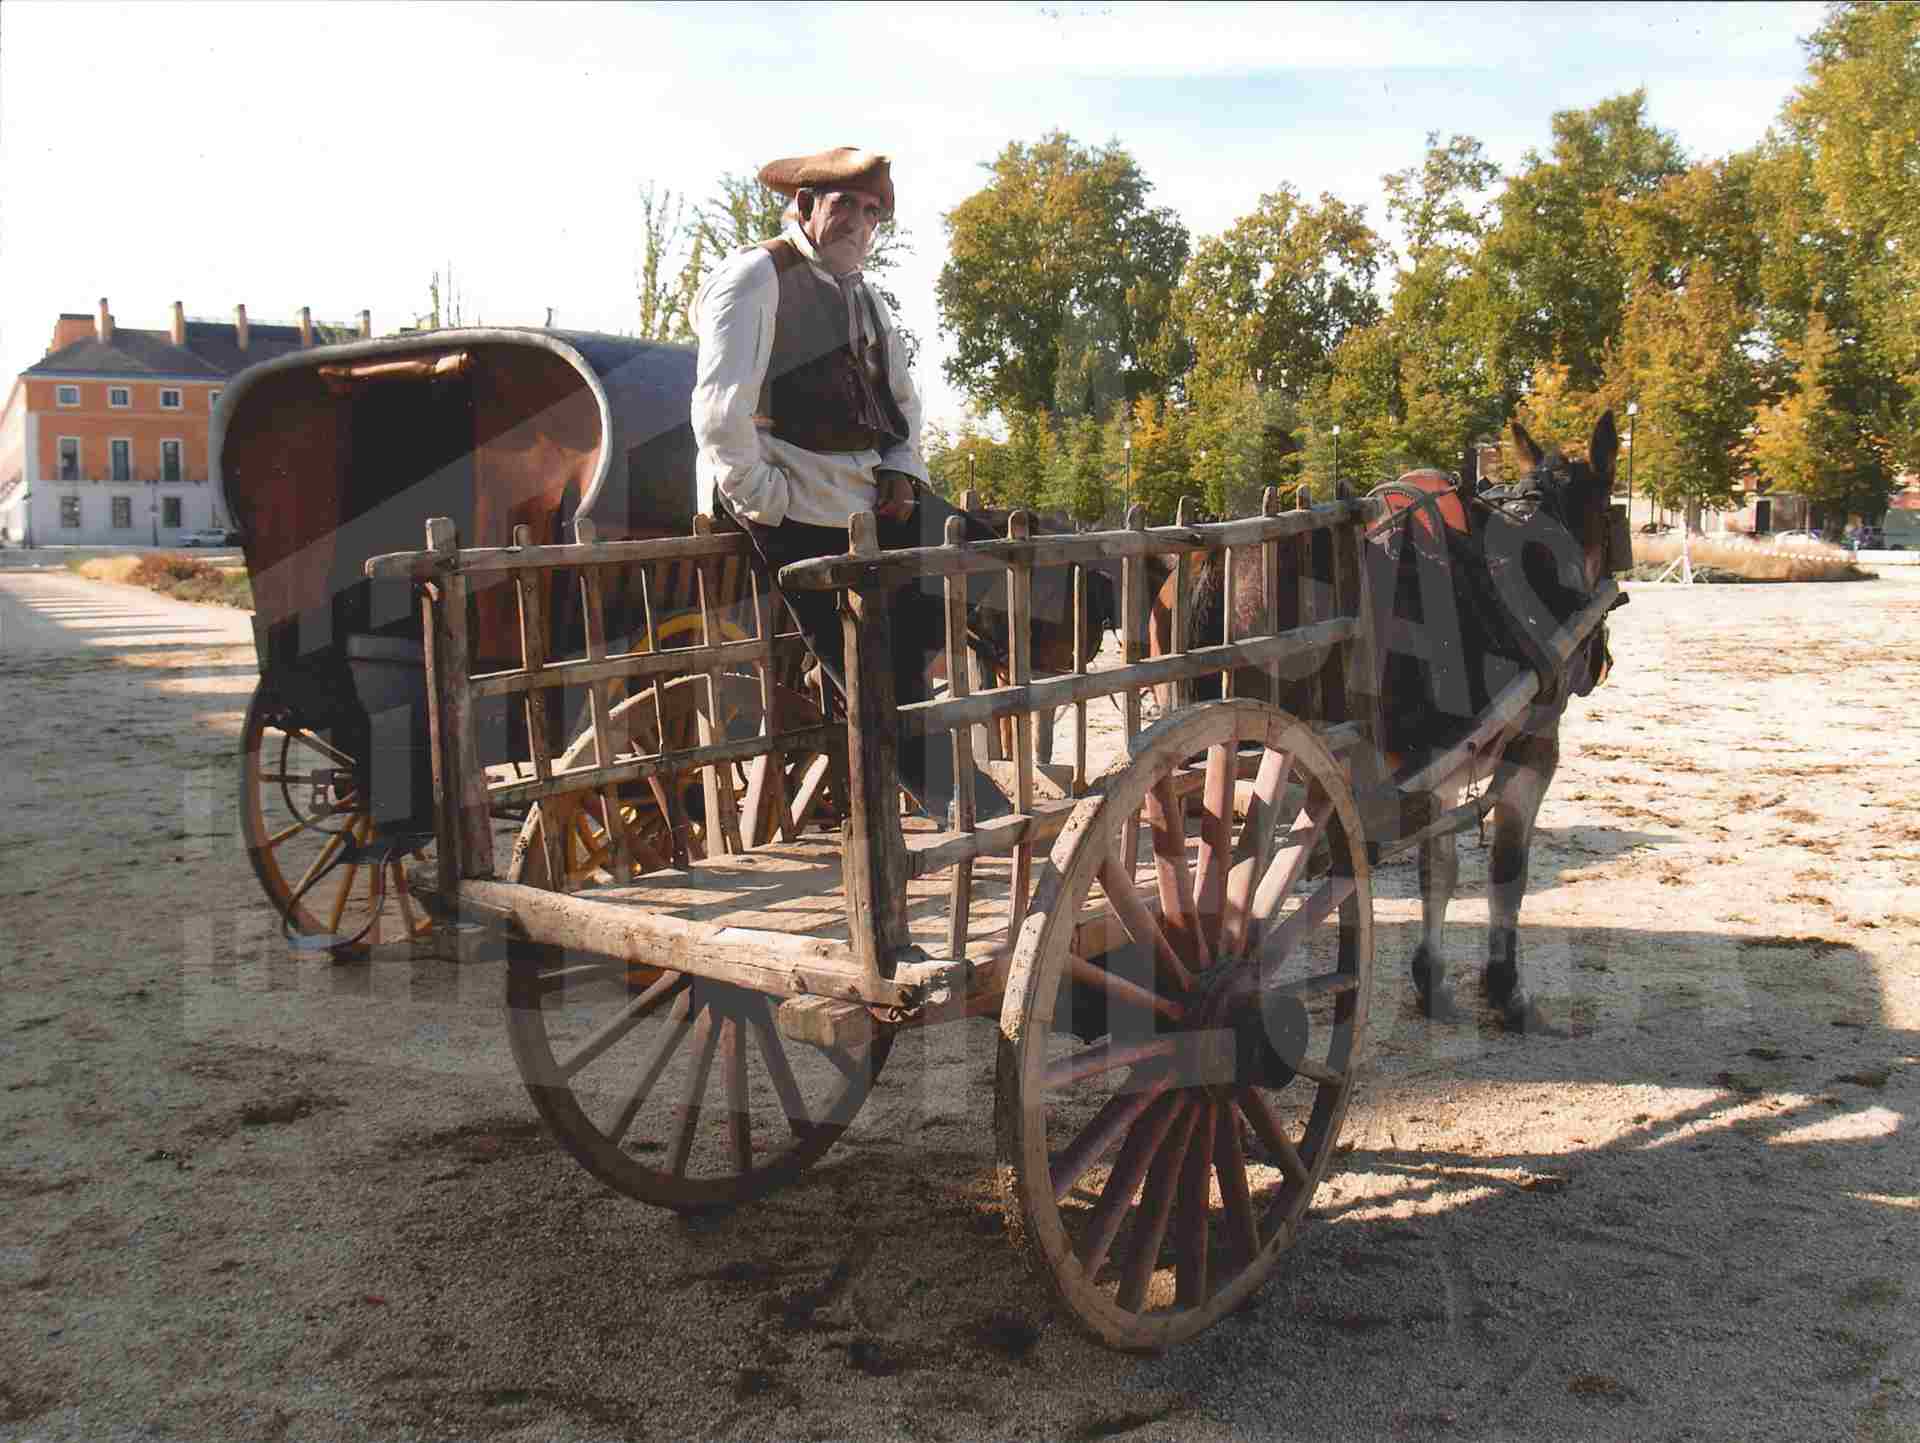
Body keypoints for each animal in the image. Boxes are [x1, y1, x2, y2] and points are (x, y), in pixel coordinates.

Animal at [1151, 413, 1623, 1031]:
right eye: (1612, 519)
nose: (1598, 662)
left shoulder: (1442, 758)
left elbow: (1438, 868)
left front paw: (1431, 979)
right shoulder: (1534, 748)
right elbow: (1506, 871)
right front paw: (1504, 988)